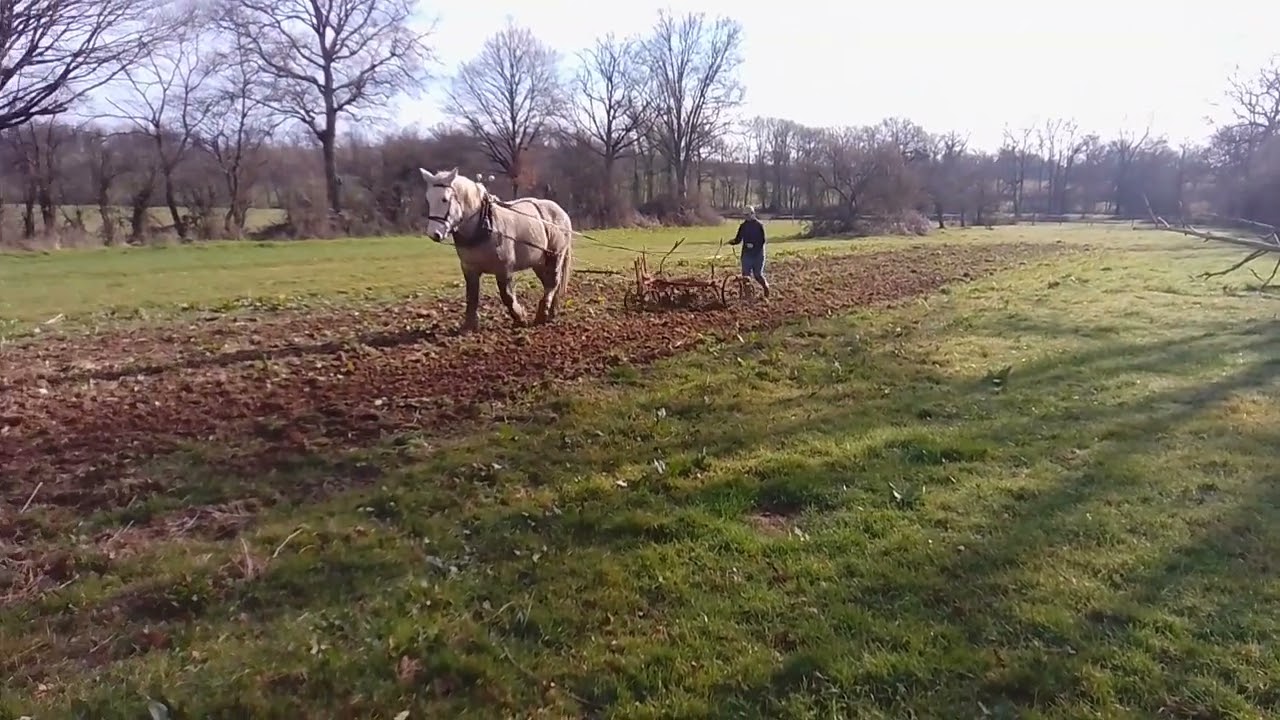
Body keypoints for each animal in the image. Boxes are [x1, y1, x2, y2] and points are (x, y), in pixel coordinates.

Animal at [419, 167, 575, 334]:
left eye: (444, 199)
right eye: (428, 199)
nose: (434, 234)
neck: (484, 224)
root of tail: (560, 211)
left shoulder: (504, 268)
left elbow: (507, 295)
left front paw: (520, 318)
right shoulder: (469, 268)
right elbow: (471, 296)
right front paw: (469, 326)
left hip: (555, 255)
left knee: (553, 282)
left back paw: (543, 314)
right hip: (538, 262)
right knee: (548, 283)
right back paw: (552, 311)